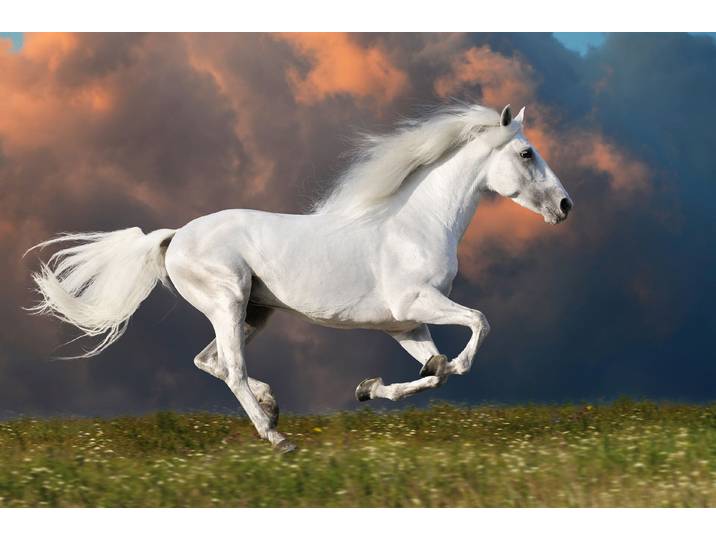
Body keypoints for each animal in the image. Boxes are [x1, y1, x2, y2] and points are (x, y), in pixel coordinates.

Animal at [27, 103, 573, 453]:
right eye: (527, 153)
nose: (565, 206)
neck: (415, 223)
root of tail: (175, 236)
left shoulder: (404, 324)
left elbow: (433, 370)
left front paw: (370, 388)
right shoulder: (417, 303)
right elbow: (477, 327)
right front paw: (436, 367)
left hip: (254, 312)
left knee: (210, 361)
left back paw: (271, 407)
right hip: (228, 302)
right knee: (231, 367)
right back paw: (277, 437)